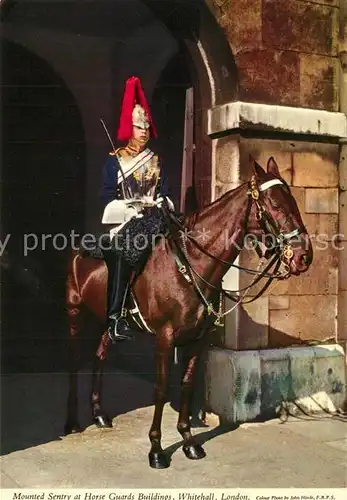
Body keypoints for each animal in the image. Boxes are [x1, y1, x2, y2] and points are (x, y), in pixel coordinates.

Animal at [64, 157, 314, 468]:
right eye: (276, 204)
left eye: (294, 199)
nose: (305, 256)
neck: (192, 264)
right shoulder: (165, 337)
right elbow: (161, 389)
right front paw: (156, 449)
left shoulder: (198, 339)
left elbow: (186, 384)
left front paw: (188, 441)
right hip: (75, 312)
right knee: (74, 361)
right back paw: (72, 422)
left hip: (105, 322)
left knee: (100, 354)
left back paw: (98, 413)